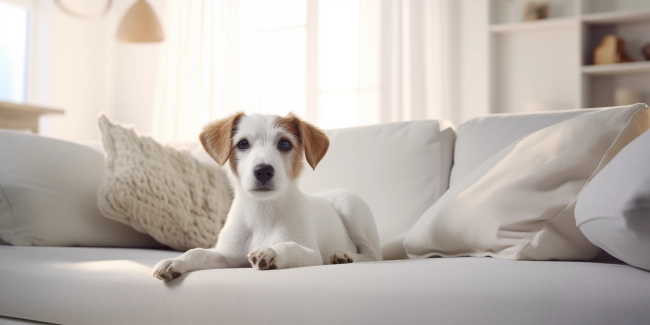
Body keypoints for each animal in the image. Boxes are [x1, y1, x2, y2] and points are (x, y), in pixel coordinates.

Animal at [152, 112, 380, 278]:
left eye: (285, 144)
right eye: (243, 144)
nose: (263, 171)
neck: (262, 210)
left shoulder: (312, 254)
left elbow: (290, 246)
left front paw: (272, 251)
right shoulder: (228, 256)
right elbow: (198, 251)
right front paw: (177, 261)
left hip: (350, 205)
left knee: (373, 255)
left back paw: (344, 255)